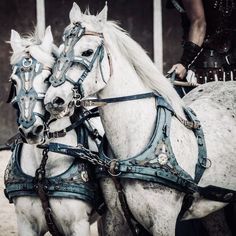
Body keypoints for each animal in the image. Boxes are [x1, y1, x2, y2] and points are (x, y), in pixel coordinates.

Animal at [4, 27, 103, 234]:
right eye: (14, 81)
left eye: (47, 78)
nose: (31, 130)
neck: (43, 160)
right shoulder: (26, 223)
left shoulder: (78, 224)